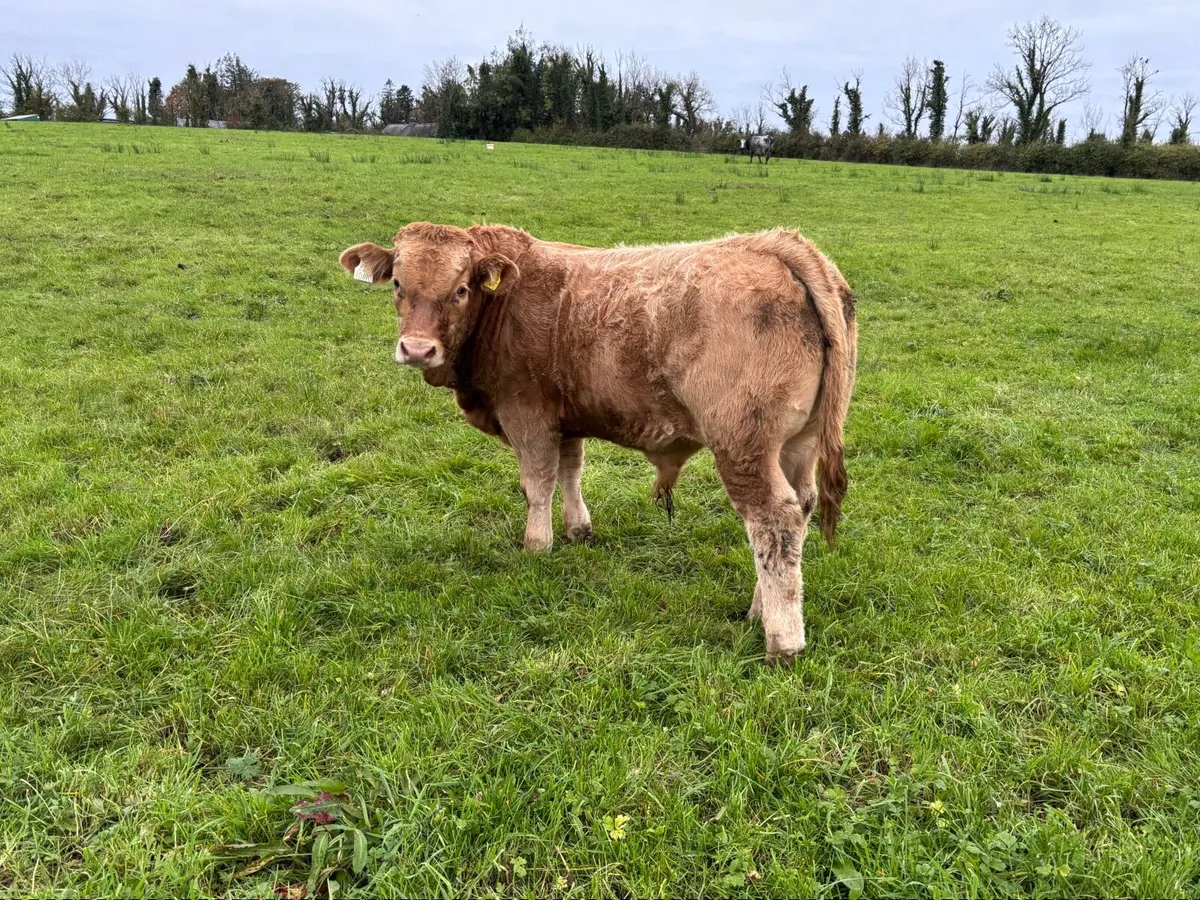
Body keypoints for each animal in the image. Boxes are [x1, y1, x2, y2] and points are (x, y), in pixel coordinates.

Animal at [338, 223, 856, 663]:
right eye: (398, 285)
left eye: (460, 290)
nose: (417, 349)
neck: (503, 305)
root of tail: (772, 244)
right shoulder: (564, 418)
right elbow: (570, 470)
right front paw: (578, 530)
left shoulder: (526, 413)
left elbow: (537, 482)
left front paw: (537, 545)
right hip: (798, 444)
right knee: (800, 510)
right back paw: (758, 610)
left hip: (744, 444)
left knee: (772, 520)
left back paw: (782, 640)